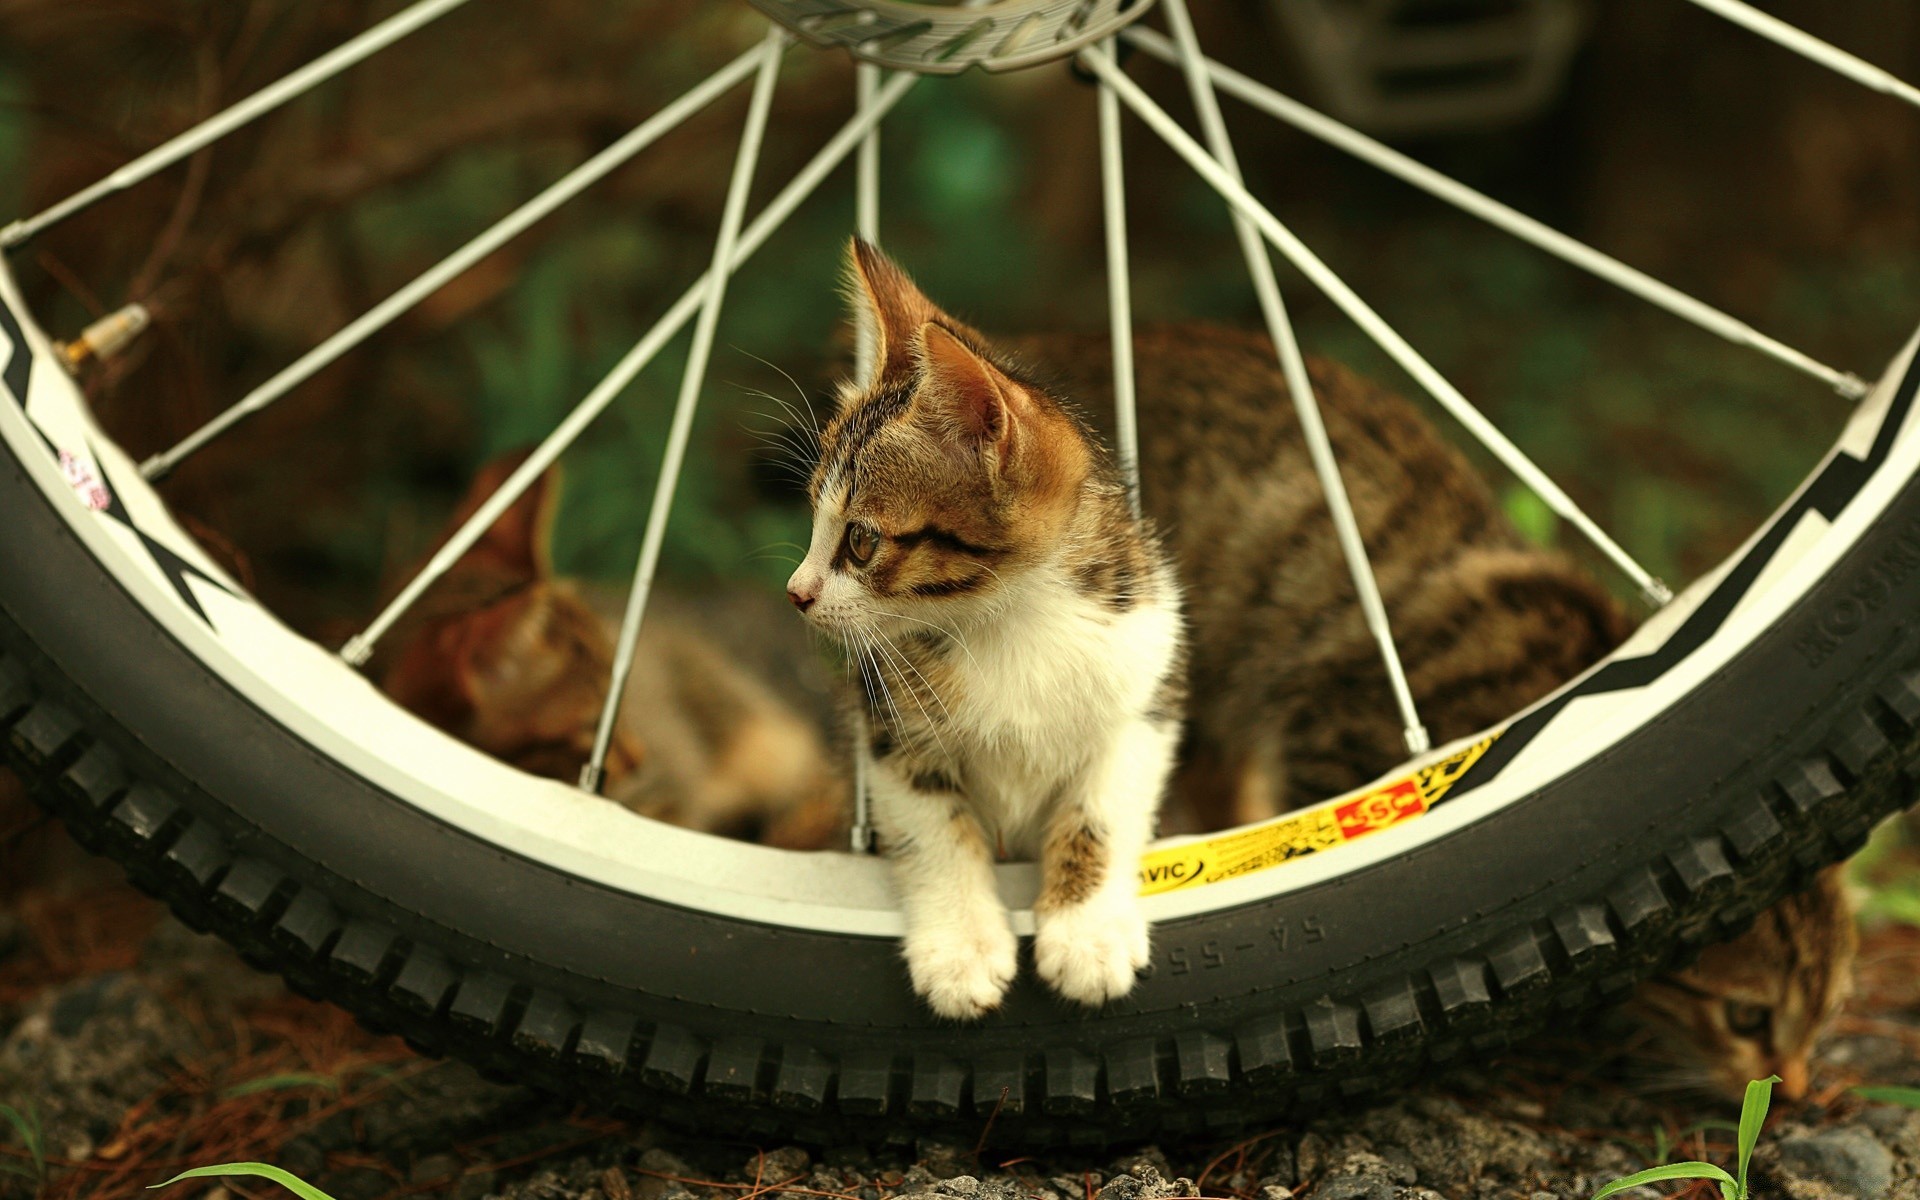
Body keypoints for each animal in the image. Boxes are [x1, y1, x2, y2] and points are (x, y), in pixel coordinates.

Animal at [783, 239, 1182, 1013]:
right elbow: (936, 826)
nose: (797, 592)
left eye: (861, 542)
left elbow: (1103, 808)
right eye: (814, 516)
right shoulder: (889, 728)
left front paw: (1087, 932)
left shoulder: (1147, 683)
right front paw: (962, 947)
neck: (1009, 620)